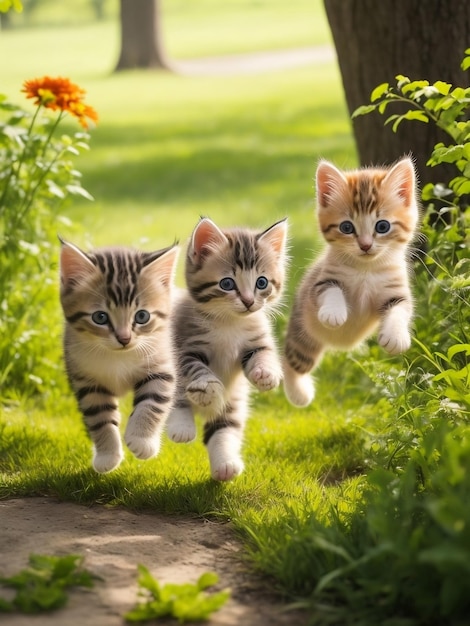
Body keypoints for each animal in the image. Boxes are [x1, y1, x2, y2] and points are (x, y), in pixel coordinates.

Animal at [57, 240, 178, 472]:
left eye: (142, 316)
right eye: (100, 317)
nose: (124, 338)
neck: (118, 357)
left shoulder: (161, 363)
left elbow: (153, 401)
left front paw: (141, 440)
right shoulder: (86, 380)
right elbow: (99, 416)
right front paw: (108, 455)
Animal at [167, 217, 288, 480]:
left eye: (261, 282)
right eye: (227, 284)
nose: (249, 301)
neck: (229, 323)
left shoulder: (256, 341)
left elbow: (265, 354)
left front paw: (266, 374)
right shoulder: (184, 347)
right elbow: (195, 369)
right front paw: (208, 385)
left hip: (234, 399)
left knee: (225, 425)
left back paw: (225, 464)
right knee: (175, 396)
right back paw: (182, 425)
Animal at [282, 157, 418, 404]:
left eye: (382, 226)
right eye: (347, 227)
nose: (365, 245)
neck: (366, 269)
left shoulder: (397, 291)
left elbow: (401, 309)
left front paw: (396, 337)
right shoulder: (321, 282)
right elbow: (331, 290)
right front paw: (334, 313)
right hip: (303, 335)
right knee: (291, 360)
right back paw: (299, 394)